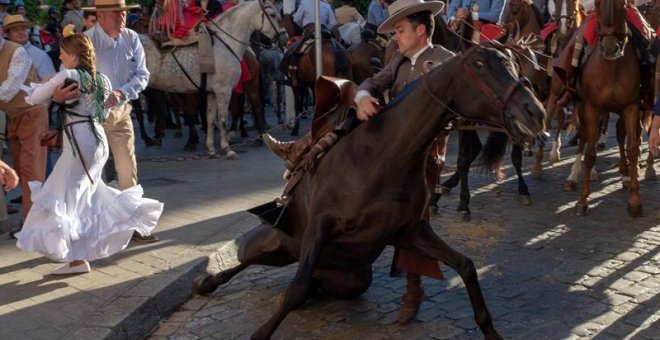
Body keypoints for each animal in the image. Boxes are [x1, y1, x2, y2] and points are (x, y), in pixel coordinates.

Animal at [141, 0, 284, 159]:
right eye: (272, 14)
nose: (284, 36)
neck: (225, 43)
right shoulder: (223, 90)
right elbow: (221, 119)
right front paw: (226, 149)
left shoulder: (212, 92)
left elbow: (210, 119)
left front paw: (211, 149)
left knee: (254, 106)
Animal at [192, 45, 548, 340]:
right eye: (479, 65)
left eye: (514, 63)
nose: (536, 112)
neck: (384, 155)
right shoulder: (320, 226)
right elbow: (295, 287)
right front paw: (261, 332)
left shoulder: (411, 231)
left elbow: (466, 266)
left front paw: (491, 331)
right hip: (272, 245)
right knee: (247, 260)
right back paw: (207, 282)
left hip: (347, 279)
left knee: (311, 282)